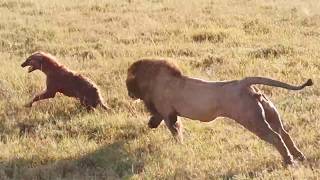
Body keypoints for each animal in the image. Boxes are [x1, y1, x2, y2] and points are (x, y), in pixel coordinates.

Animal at [127, 58, 312, 165]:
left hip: (252, 120)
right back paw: (299, 156)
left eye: (128, 83)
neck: (151, 80)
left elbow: (176, 131)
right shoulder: (165, 111)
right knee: (285, 133)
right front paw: (151, 124)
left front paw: (179, 147)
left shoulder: (168, 113)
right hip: (270, 113)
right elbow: (157, 117)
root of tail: (243, 82)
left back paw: (288, 160)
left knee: (275, 137)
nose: (129, 94)